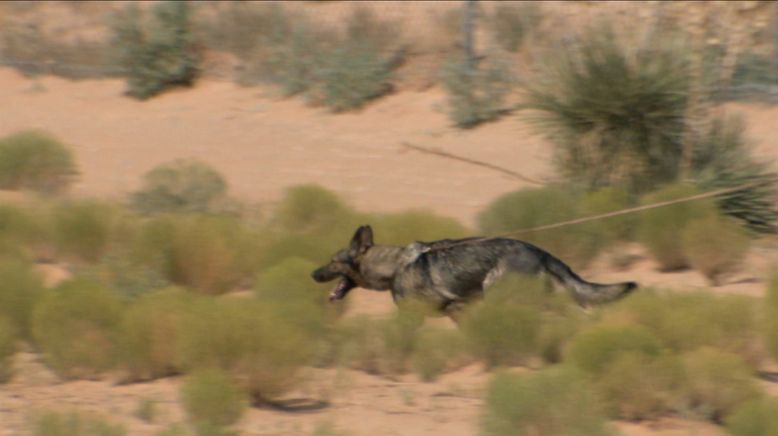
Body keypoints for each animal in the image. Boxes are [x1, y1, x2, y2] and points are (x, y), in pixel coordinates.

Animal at [310, 225, 636, 320]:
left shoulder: (453, 309)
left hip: (500, 293)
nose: (313, 273)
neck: (395, 265)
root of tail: (541, 252)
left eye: (332, 261)